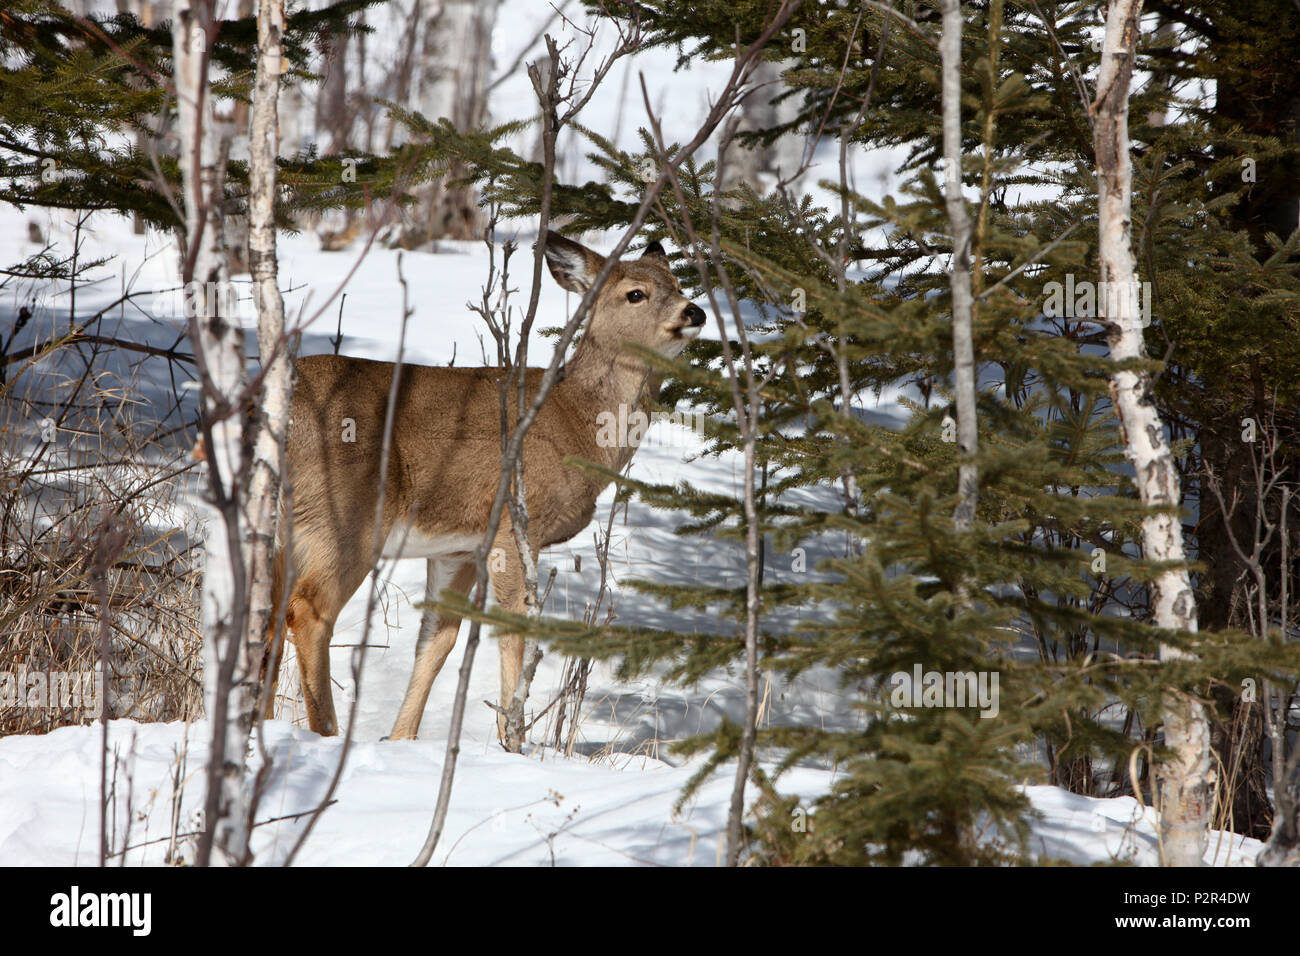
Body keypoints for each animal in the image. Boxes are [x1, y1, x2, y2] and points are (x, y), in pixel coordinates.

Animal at [265, 231, 707, 749]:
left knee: (266, 617)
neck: (576, 422)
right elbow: (511, 633)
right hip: (346, 514)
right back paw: (327, 735)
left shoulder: (458, 547)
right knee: (308, 611)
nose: (694, 312)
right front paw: (511, 741)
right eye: (635, 293)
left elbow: (438, 639)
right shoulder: (515, 528)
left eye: (678, 283)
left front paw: (400, 741)